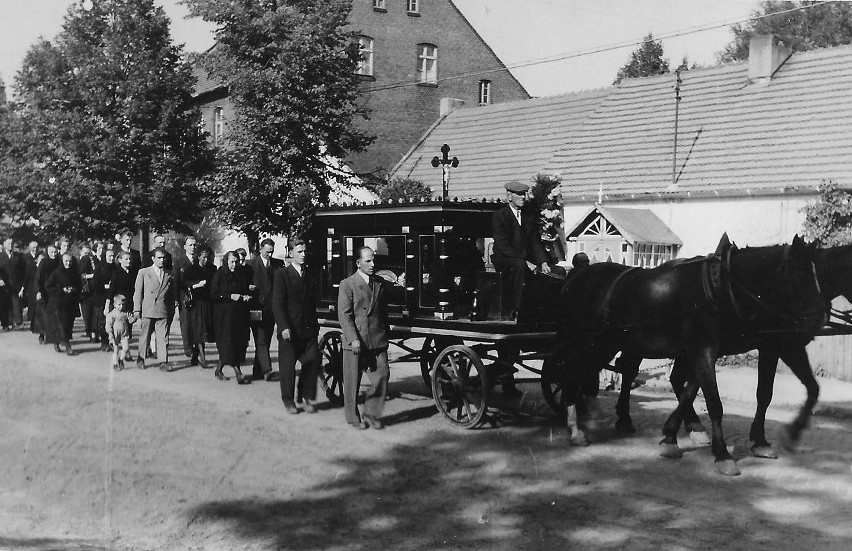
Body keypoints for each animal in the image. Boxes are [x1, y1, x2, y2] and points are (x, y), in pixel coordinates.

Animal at [552, 235, 824, 476]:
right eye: (799, 276)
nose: (817, 322)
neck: (719, 287)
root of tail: (575, 277)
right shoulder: (704, 351)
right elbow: (713, 402)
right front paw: (722, 455)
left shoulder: (709, 352)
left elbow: (691, 393)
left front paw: (672, 436)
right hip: (583, 342)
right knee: (570, 373)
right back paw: (576, 428)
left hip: (606, 344)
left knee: (598, 371)